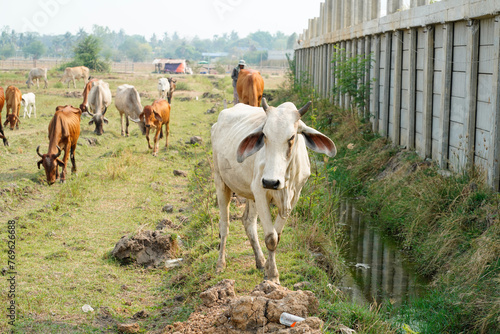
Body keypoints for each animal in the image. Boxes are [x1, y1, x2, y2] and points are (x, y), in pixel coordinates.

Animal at [210, 98, 336, 284]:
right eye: (265, 135)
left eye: (292, 137)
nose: (271, 181)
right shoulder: (260, 191)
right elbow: (270, 238)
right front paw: (273, 276)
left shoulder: (293, 197)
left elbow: (277, 235)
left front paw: (269, 270)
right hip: (221, 182)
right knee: (224, 226)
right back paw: (220, 264)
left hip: (250, 193)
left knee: (248, 221)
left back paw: (260, 261)